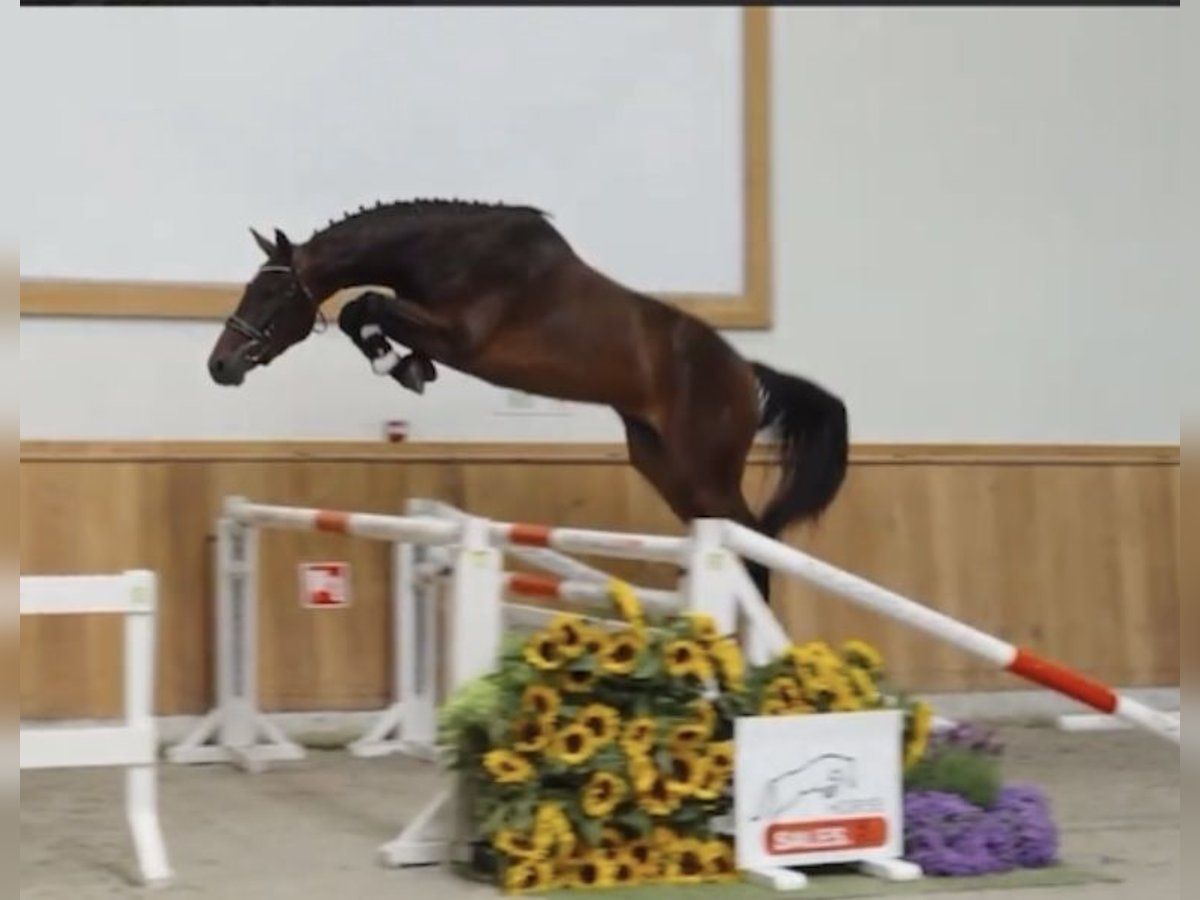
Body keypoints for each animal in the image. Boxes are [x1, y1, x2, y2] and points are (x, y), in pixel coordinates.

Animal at [206, 199, 849, 605]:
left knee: (754, 541)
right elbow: (360, 311)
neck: (448, 252)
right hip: (666, 465)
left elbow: (366, 304)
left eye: (273, 293)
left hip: (707, 471)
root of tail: (745, 371)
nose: (220, 365)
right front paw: (404, 364)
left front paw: (400, 364)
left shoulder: (463, 337)